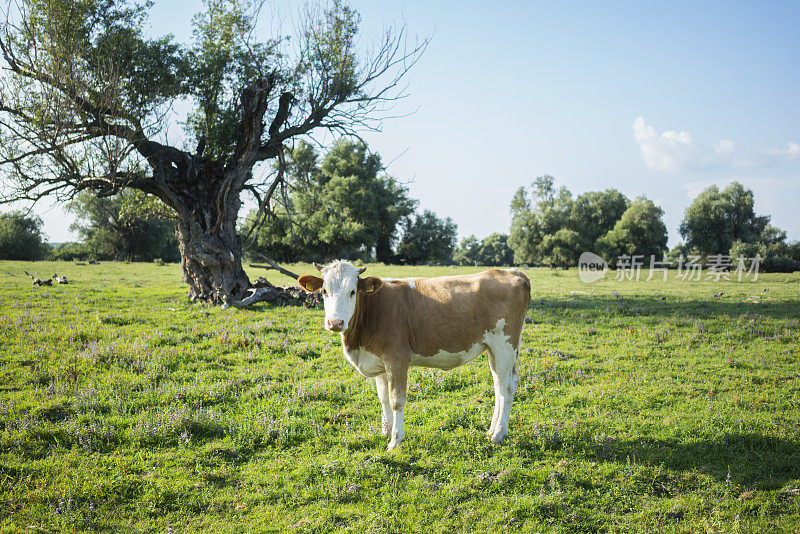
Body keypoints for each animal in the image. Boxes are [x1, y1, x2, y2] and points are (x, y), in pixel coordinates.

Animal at [296, 262, 528, 452]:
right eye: (324, 291)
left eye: (352, 291)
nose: (335, 323)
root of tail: (510, 271)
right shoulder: (380, 363)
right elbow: (383, 398)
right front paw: (385, 431)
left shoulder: (398, 359)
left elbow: (396, 400)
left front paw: (395, 440)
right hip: (493, 349)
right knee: (499, 385)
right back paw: (491, 430)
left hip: (505, 344)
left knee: (507, 387)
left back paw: (498, 434)